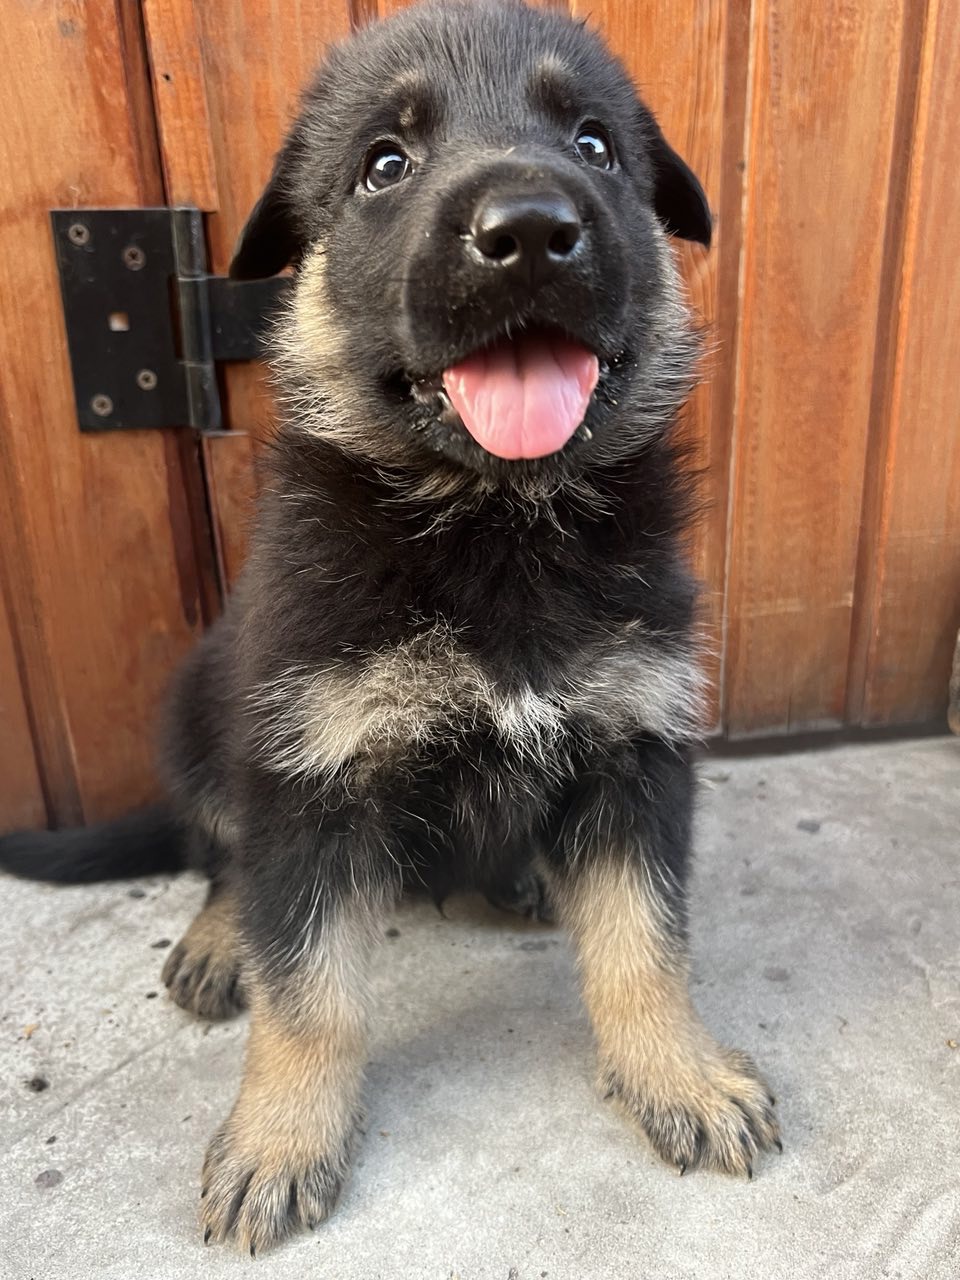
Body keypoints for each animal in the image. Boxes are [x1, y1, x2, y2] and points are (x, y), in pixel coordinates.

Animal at [1, 0, 783, 1254]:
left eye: (597, 145)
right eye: (385, 165)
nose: (530, 232)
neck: (497, 521)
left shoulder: (635, 748)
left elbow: (645, 945)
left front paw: (680, 1072)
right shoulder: (309, 771)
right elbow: (307, 990)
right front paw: (278, 1136)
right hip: (206, 706)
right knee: (221, 851)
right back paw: (219, 937)